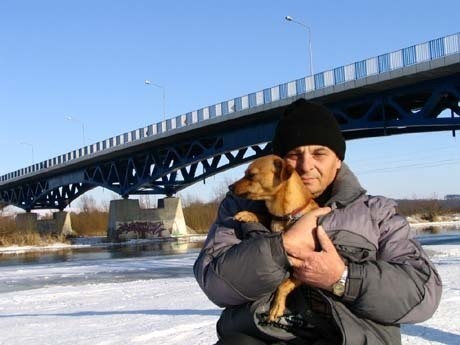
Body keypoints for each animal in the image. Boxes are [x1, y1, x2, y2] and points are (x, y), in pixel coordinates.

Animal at [230, 153, 320, 320]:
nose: (230, 187)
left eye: (251, 174)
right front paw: (248, 215)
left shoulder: (304, 270)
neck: (286, 216)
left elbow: (283, 285)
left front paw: (276, 306)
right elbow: (263, 215)